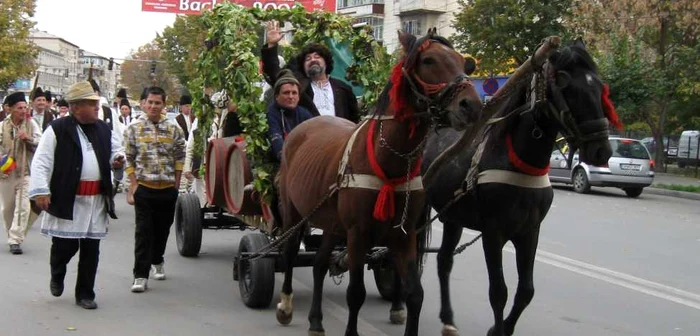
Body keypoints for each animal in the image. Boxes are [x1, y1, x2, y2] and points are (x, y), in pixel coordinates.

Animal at [276, 30, 484, 334]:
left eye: (462, 61)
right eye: (429, 60)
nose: (472, 106)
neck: (389, 160)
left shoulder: (405, 236)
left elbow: (415, 294)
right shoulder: (357, 235)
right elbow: (355, 293)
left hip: (331, 222)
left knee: (319, 264)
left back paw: (315, 320)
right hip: (293, 212)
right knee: (290, 253)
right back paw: (285, 306)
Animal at [422, 40, 612, 336]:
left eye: (600, 86)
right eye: (565, 82)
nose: (602, 150)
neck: (518, 165)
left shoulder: (529, 232)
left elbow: (526, 291)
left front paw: (503, 328)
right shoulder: (493, 234)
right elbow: (498, 292)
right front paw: (498, 329)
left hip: (453, 218)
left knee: (444, 260)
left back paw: (448, 318)